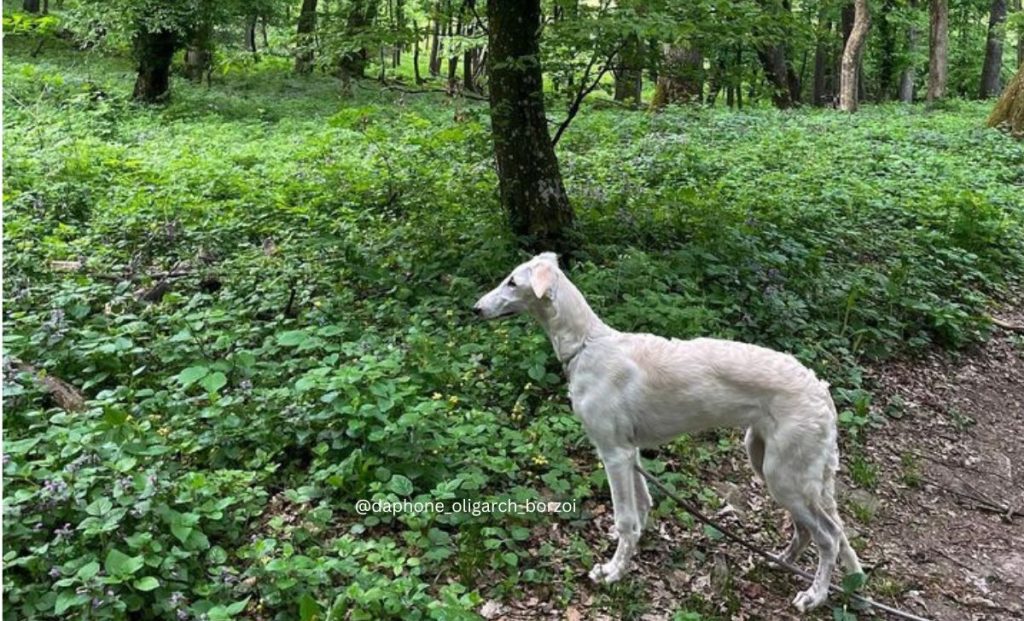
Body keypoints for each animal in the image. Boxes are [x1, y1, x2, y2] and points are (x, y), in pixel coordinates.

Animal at [475, 253, 860, 614]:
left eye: (512, 282)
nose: (475, 309)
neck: (586, 345)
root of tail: (822, 391)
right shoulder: (630, 452)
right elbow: (642, 506)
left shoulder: (613, 453)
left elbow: (625, 519)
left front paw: (613, 572)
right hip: (767, 461)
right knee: (809, 529)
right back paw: (783, 562)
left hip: (785, 476)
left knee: (829, 536)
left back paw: (814, 595)